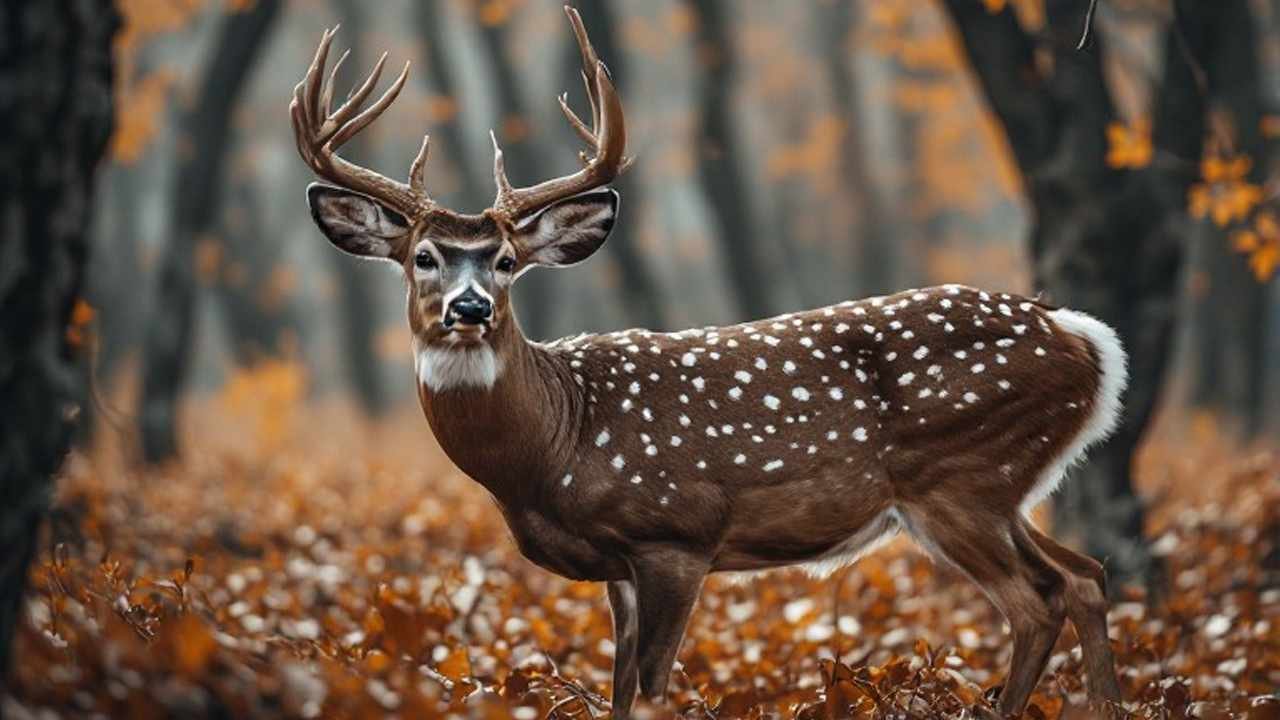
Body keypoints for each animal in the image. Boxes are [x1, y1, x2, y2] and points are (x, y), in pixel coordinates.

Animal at [289, 8, 1126, 718]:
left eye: (503, 262)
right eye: (422, 257)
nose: (470, 309)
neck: (554, 446)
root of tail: (1082, 336)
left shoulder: (674, 534)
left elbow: (653, 694)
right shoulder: (616, 567)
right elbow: (619, 693)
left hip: (960, 476)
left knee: (1038, 599)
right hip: (999, 490)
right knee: (1085, 576)